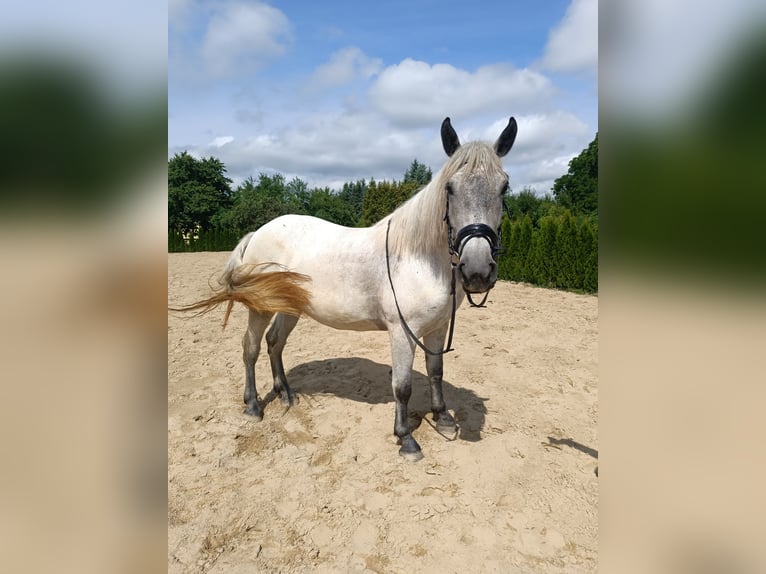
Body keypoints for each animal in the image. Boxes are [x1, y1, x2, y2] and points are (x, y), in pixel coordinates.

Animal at [176, 116, 517, 461]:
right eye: (450, 187)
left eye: (504, 187)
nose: (477, 271)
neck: (418, 257)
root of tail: (257, 233)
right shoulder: (402, 332)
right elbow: (403, 386)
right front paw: (406, 439)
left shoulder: (438, 327)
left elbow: (436, 371)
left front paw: (443, 419)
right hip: (260, 308)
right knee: (251, 347)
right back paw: (253, 406)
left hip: (290, 308)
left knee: (275, 343)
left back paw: (286, 394)